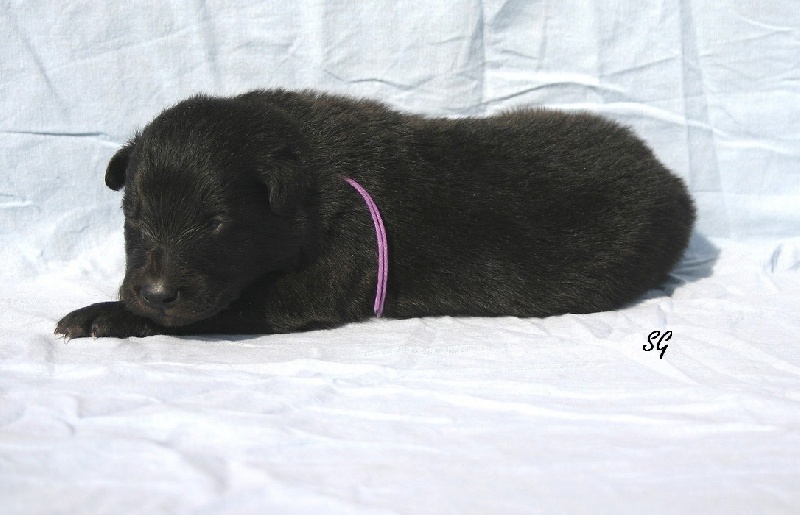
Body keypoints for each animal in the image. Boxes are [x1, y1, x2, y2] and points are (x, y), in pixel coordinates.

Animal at [56, 89, 695, 339]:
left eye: (215, 223)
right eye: (135, 219)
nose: (155, 292)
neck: (311, 180)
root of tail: (672, 182)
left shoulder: (324, 273)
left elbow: (216, 311)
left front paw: (103, 315)